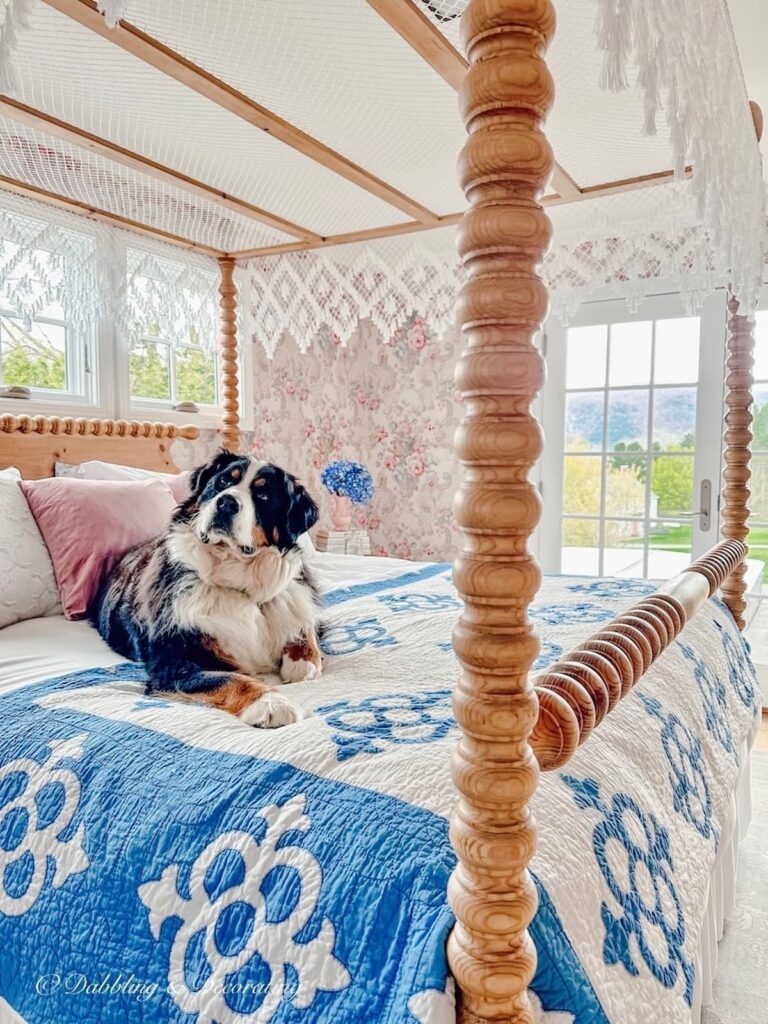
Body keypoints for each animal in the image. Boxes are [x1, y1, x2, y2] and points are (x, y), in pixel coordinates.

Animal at [91, 450, 323, 729]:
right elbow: (231, 680)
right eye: (222, 482)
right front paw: (272, 704)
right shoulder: (176, 664)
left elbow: (304, 624)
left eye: (263, 496)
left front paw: (304, 661)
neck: (238, 581)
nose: (227, 503)